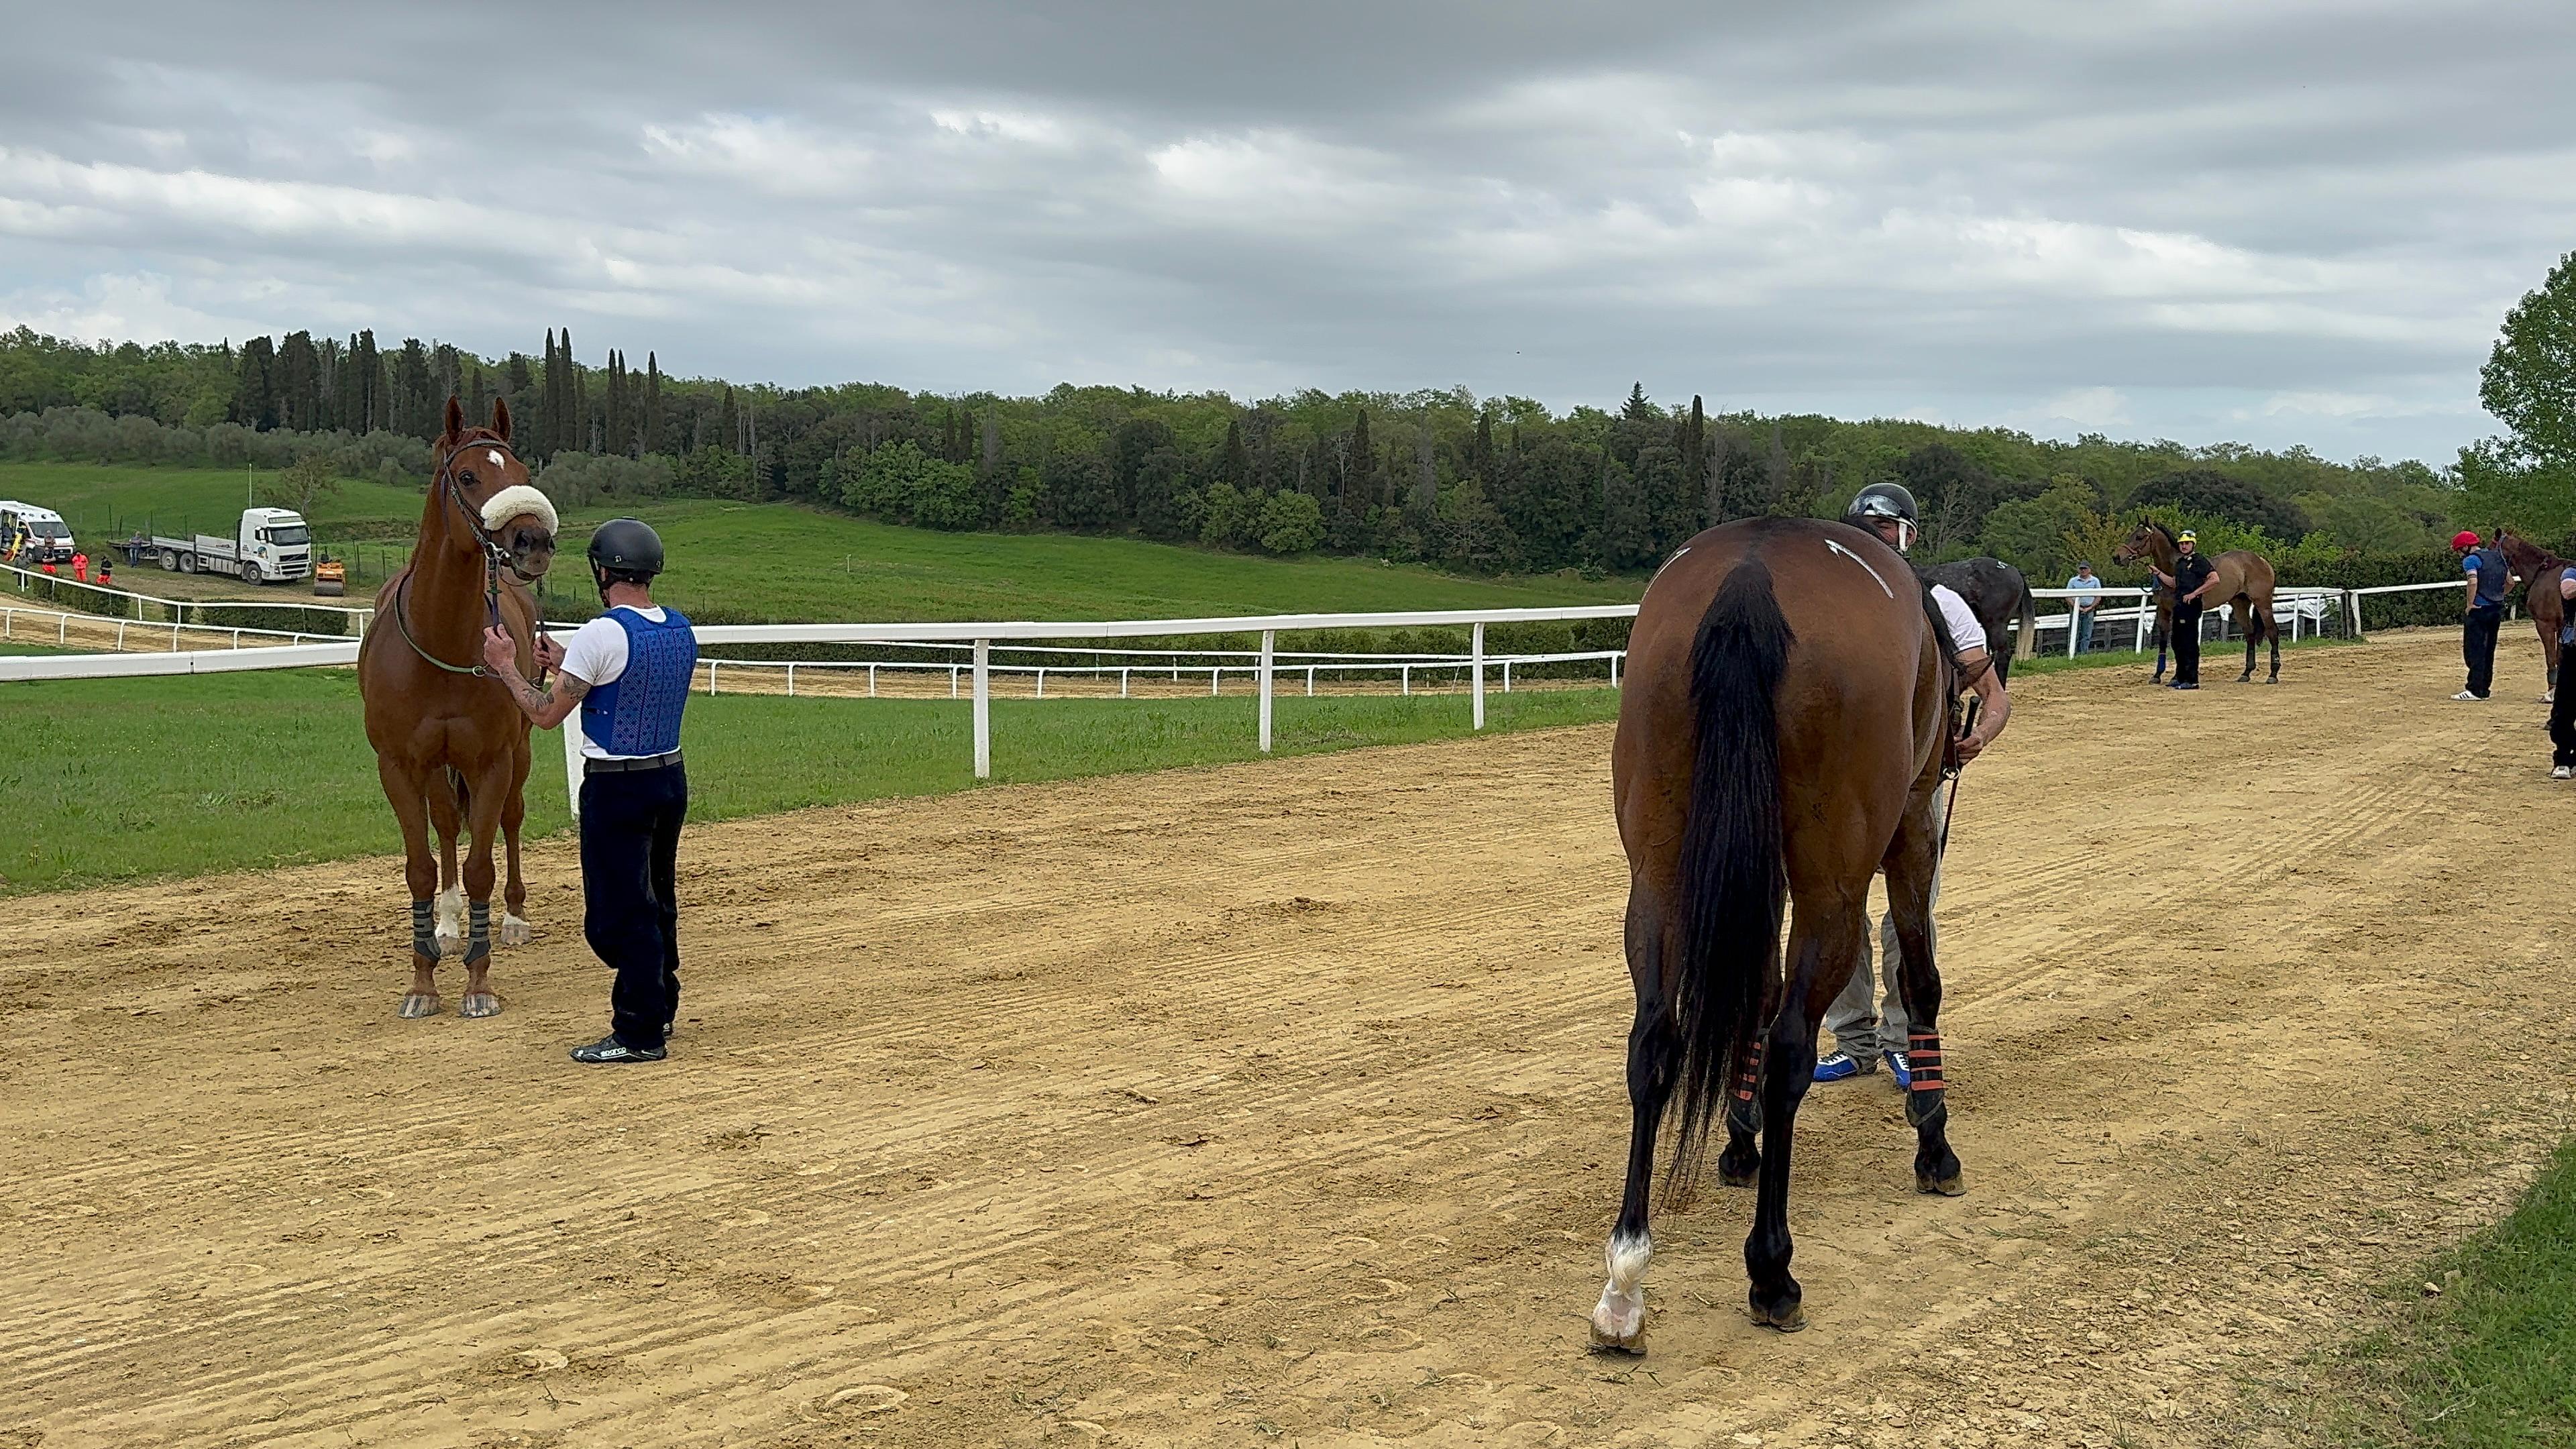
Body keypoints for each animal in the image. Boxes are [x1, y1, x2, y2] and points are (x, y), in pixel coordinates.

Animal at [358, 394, 559, 1016]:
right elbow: (423, 869)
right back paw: (446, 927)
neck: (441, 639)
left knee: (511, 820)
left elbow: (481, 868)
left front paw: (479, 981)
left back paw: (513, 918)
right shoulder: (400, 766)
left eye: (520, 472)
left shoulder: (491, 760)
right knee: (446, 823)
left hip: (520, 753)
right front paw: (424, 978)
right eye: (468, 477)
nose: (533, 542)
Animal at [1576, 513, 1957, 1350]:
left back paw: (1625, 1279)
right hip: (1833, 884)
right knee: (1790, 1045)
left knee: (1654, 1040)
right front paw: (1934, 1142)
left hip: (1659, 874)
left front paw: (1737, 1143)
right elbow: (1919, 978)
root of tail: (1751, 574)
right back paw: (1772, 1270)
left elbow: (1748, 995)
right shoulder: (1913, 825)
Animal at [2102, 515, 2287, 680]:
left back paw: (2273, 674)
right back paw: (2246, 673)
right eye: (2131, 534)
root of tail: (2262, 561)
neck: (2174, 570)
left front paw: (2176, 677)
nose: (2117, 557)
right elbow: (2163, 640)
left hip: (2263, 603)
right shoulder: (2163, 610)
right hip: (2240, 603)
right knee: (2249, 633)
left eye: (2139, 537)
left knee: (2272, 632)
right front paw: (2157, 675)